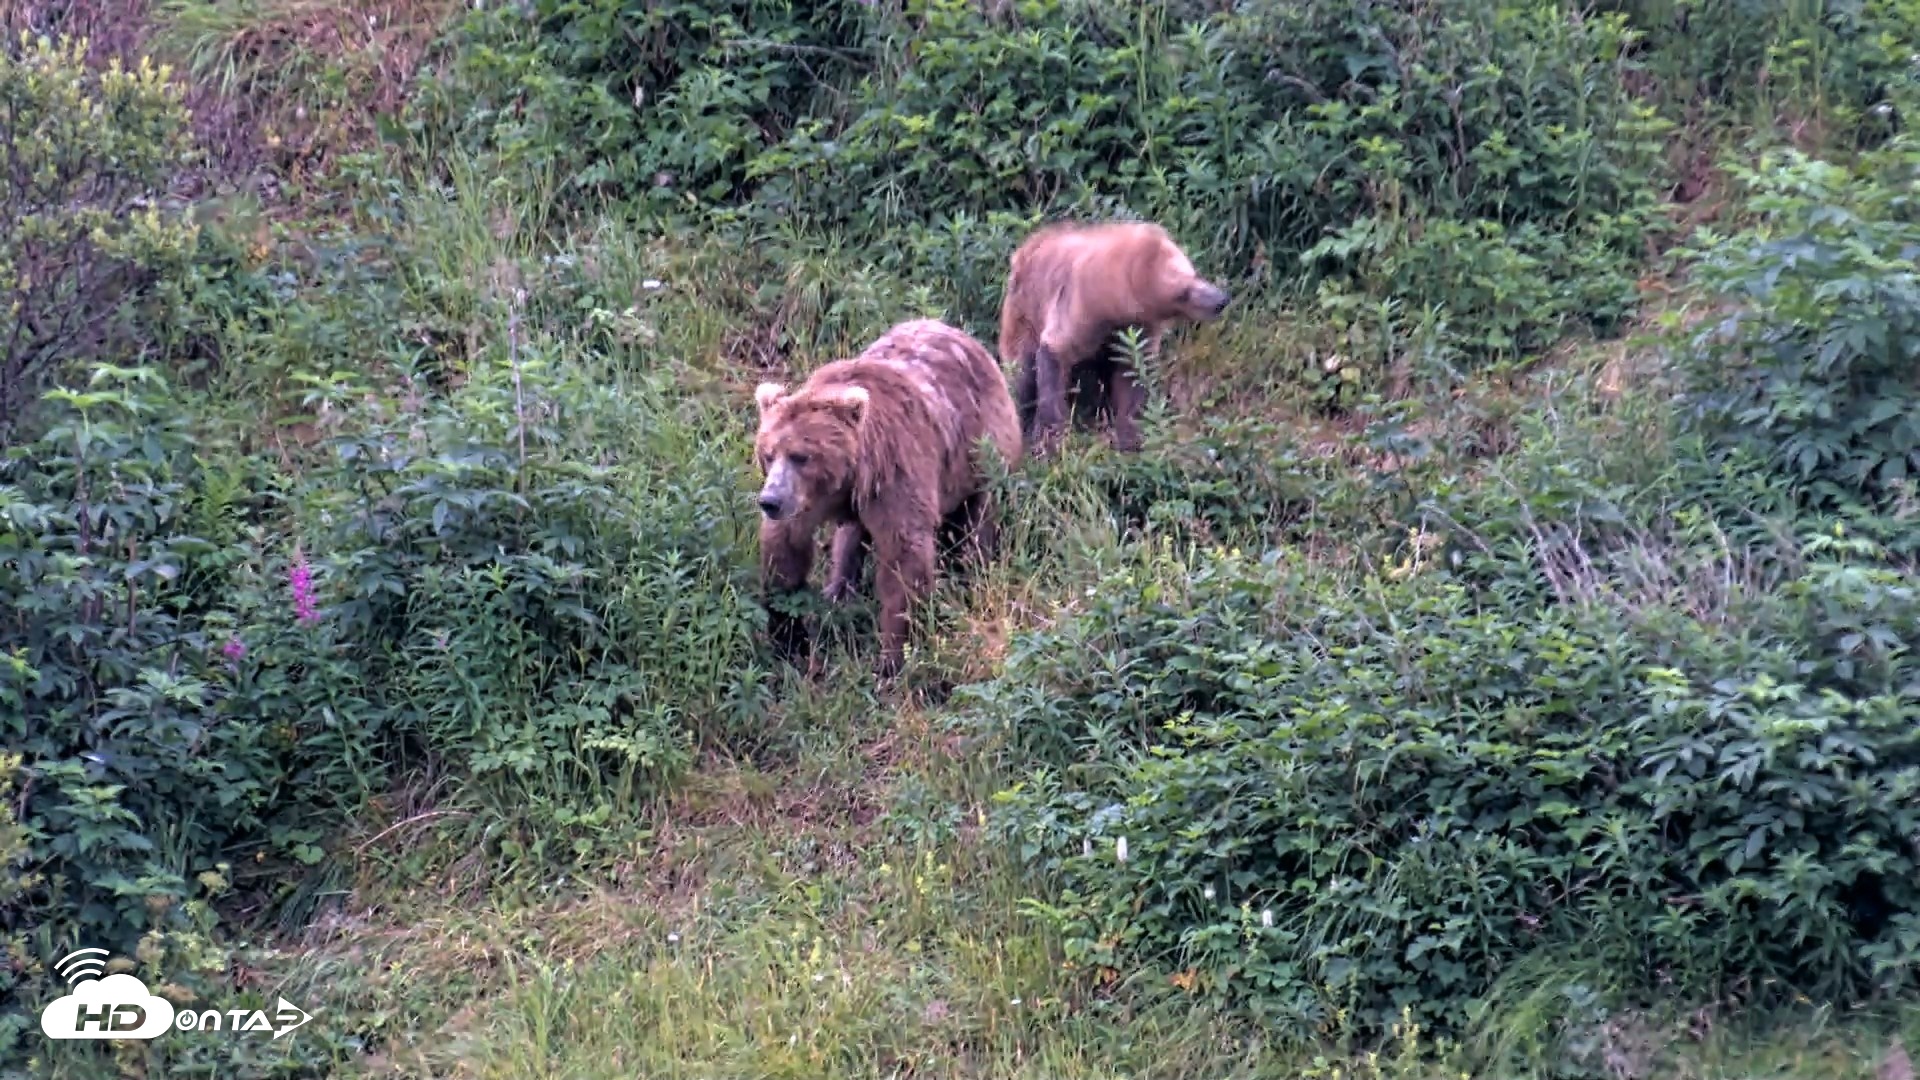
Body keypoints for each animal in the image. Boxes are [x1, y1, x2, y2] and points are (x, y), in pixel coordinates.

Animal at [752, 318, 1023, 681]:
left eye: (801, 456)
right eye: (768, 454)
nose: (769, 500)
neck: (845, 477)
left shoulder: (894, 471)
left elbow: (903, 558)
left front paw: (892, 658)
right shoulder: (806, 501)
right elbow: (784, 552)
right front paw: (788, 640)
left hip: (980, 448)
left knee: (978, 518)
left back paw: (972, 571)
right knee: (850, 537)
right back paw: (839, 590)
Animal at [998, 220, 1232, 454]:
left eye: (1193, 274)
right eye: (1183, 294)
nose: (1221, 300)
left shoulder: (1133, 330)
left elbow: (1131, 375)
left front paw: (1130, 436)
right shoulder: (1077, 311)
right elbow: (1053, 361)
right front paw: (1050, 438)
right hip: (1023, 315)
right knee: (1021, 372)